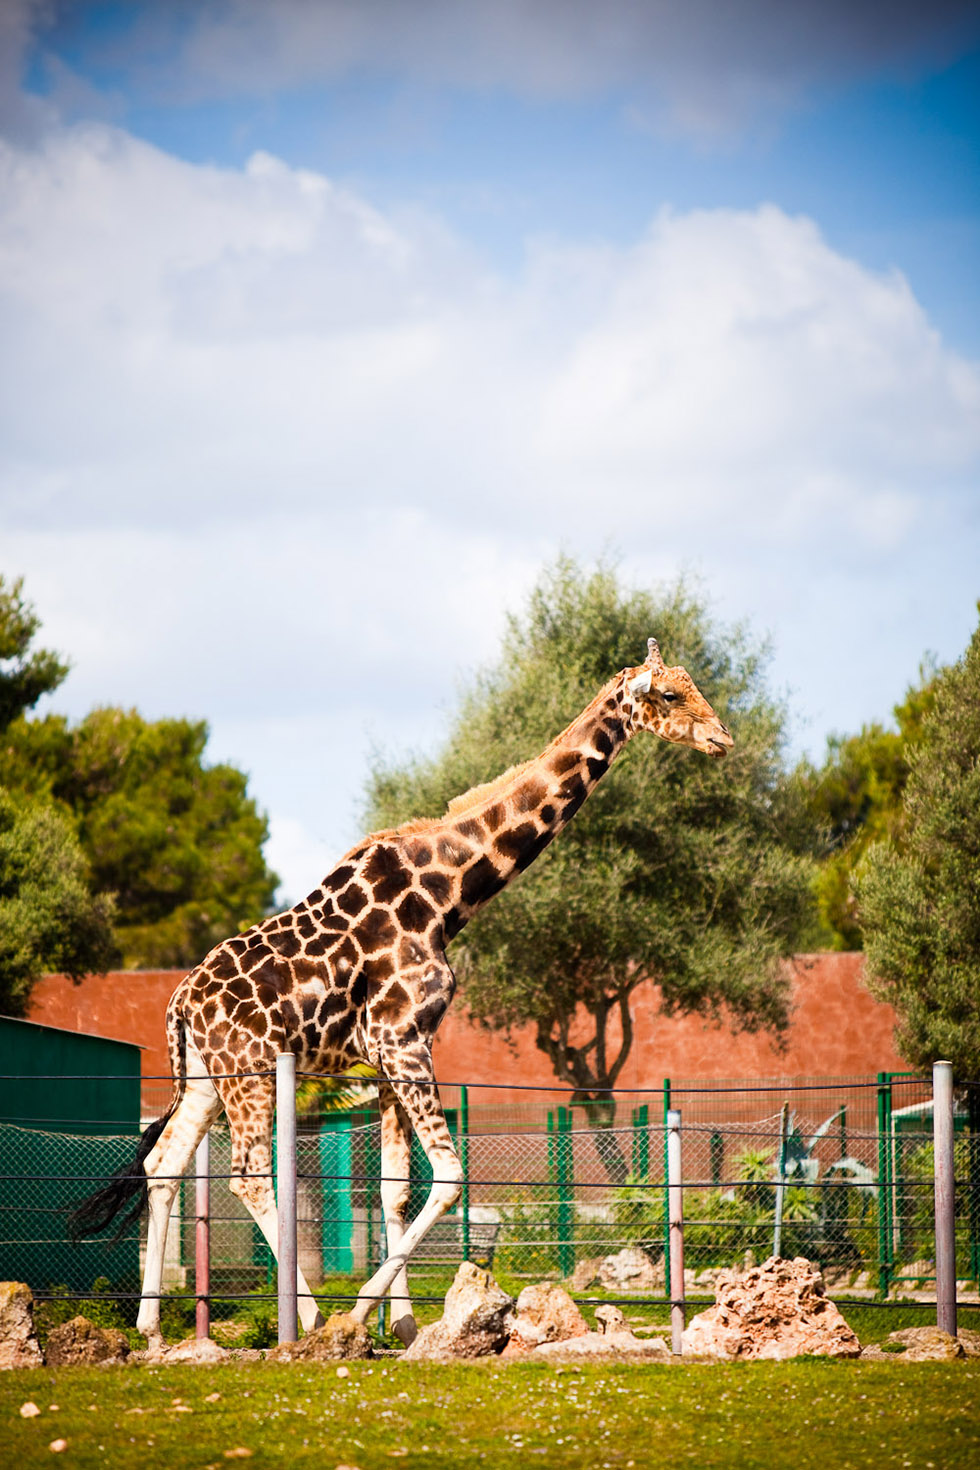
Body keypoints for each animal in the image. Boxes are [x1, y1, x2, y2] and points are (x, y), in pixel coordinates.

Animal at [70, 632, 728, 1346]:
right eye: (671, 694)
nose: (722, 738)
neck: (449, 893)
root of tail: (181, 1002)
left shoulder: (385, 1054)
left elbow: (394, 1187)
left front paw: (406, 1325)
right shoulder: (403, 1040)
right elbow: (448, 1178)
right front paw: (361, 1314)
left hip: (206, 1077)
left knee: (163, 1164)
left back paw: (151, 1326)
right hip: (251, 1074)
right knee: (249, 1176)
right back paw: (305, 1316)